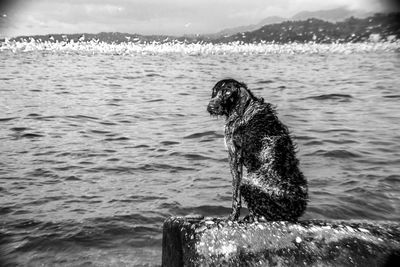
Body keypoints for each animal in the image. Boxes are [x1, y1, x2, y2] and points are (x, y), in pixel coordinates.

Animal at [208, 79, 308, 222]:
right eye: (214, 91)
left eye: (227, 92)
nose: (210, 106)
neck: (245, 109)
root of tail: (293, 213)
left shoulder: (234, 156)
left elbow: (235, 196)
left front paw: (233, 217)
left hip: (247, 184)